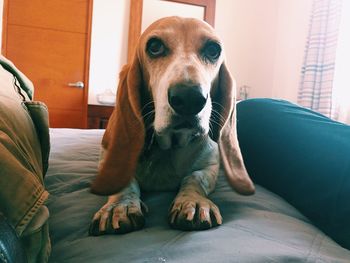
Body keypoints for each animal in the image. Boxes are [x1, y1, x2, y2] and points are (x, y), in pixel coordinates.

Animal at [89, 15, 254, 236]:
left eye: (213, 50)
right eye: (155, 46)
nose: (189, 98)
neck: (170, 145)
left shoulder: (209, 166)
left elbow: (194, 178)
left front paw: (193, 202)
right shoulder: (106, 159)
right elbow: (124, 182)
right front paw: (120, 206)